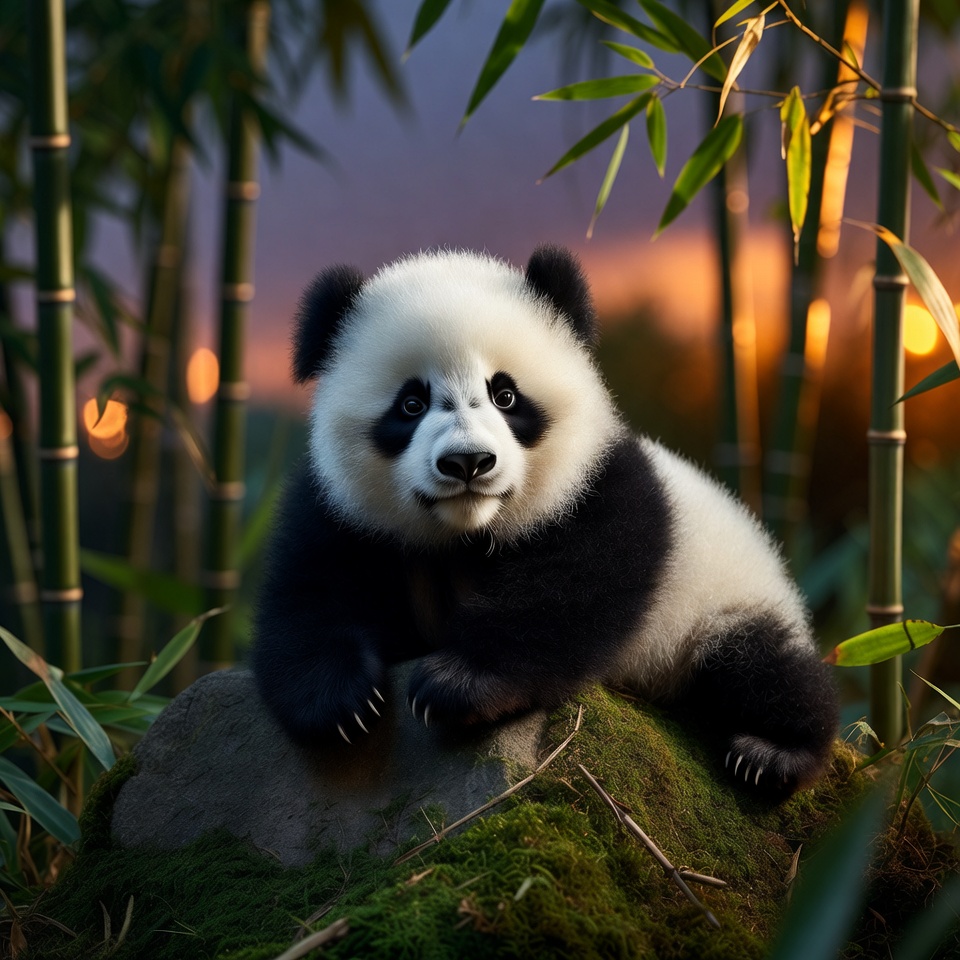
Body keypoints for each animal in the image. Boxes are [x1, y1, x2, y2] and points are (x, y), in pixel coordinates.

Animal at [251, 245, 839, 799]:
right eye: (411, 403)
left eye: (505, 395)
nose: (468, 462)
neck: (467, 534)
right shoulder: (339, 506)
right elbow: (311, 587)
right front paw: (339, 701)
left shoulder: (600, 487)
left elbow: (570, 592)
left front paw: (458, 683)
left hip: (723, 600)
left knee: (762, 666)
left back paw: (771, 753)